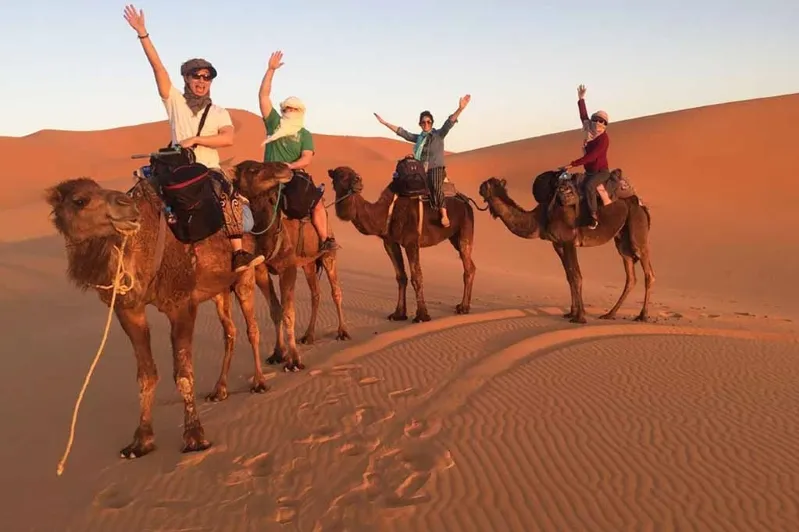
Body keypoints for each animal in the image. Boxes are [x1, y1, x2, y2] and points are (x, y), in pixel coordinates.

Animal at [45, 174, 286, 458]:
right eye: (80, 200)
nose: (126, 205)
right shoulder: (128, 310)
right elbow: (145, 374)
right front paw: (140, 441)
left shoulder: (180, 304)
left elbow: (183, 373)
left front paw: (195, 437)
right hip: (218, 289)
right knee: (230, 330)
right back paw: (219, 390)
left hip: (245, 275)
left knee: (253, 326)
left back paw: (259, 381)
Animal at [230, 162, 352, 370]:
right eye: (253, 169)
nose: (283, 168)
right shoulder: (262, 270)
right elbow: (275, 310)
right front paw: (278, 354)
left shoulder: (288, 269)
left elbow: (288, 312)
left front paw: (294, 360)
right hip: (308, 262)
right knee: (315, 293)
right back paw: (309, 335)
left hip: (328, 253)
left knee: (335, 290)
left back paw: (342, 331)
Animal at [324, 165, 478, 324]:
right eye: (340, 175)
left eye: (354, 173)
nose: (358, 181)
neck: (386, 212)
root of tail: (466, 201)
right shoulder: (390, 242)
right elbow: (401, 277)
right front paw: (398, 314)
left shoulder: (411, 242)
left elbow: (416, 277)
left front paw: (422, 316)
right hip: (454, 237)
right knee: (470, 265)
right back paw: (463, 305)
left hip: (465, 228)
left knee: (467, 264)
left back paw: (464, 308)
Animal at [478, 168, 652, 322]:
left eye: (487, 185)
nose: (479, 188)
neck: (540, 218)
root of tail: (641, 204)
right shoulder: (558, 244)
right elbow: (569, 276)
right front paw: (571, 313)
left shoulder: (569, 241)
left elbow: (576, 276)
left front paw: (580, 317)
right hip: (622, 240)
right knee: (630, 276)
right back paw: (609, 314)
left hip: (637, 231)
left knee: (648, 272)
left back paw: (642, 316)